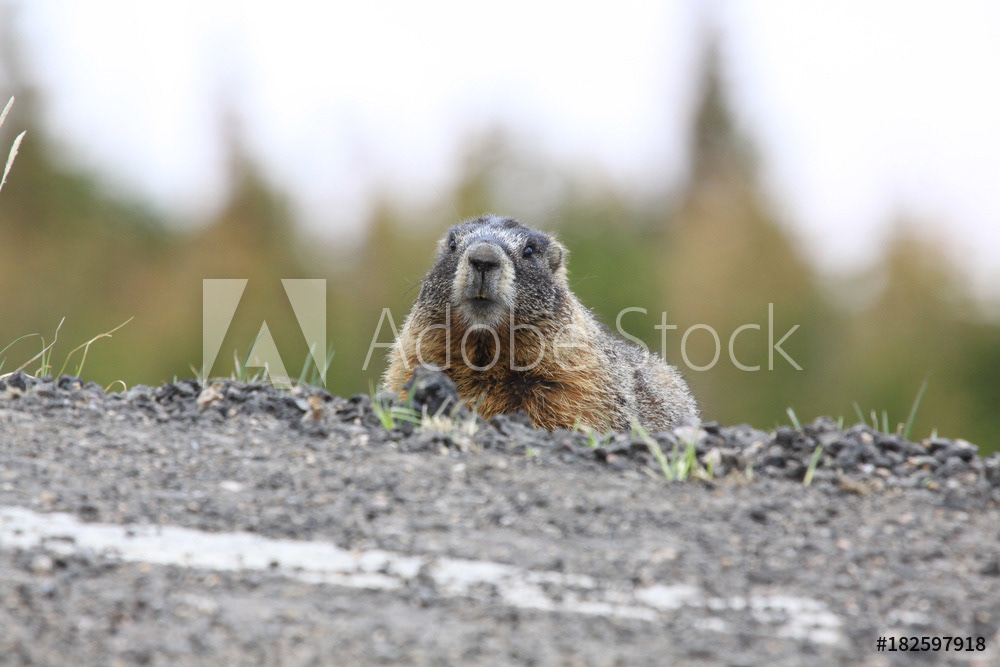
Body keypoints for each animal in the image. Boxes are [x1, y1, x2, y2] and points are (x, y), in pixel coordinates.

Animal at [382, 215, 698, 432]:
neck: (486, 348)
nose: (483, 258)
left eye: (529, 251)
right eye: (451, 245)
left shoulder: (575, 379)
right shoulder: (412, 358)